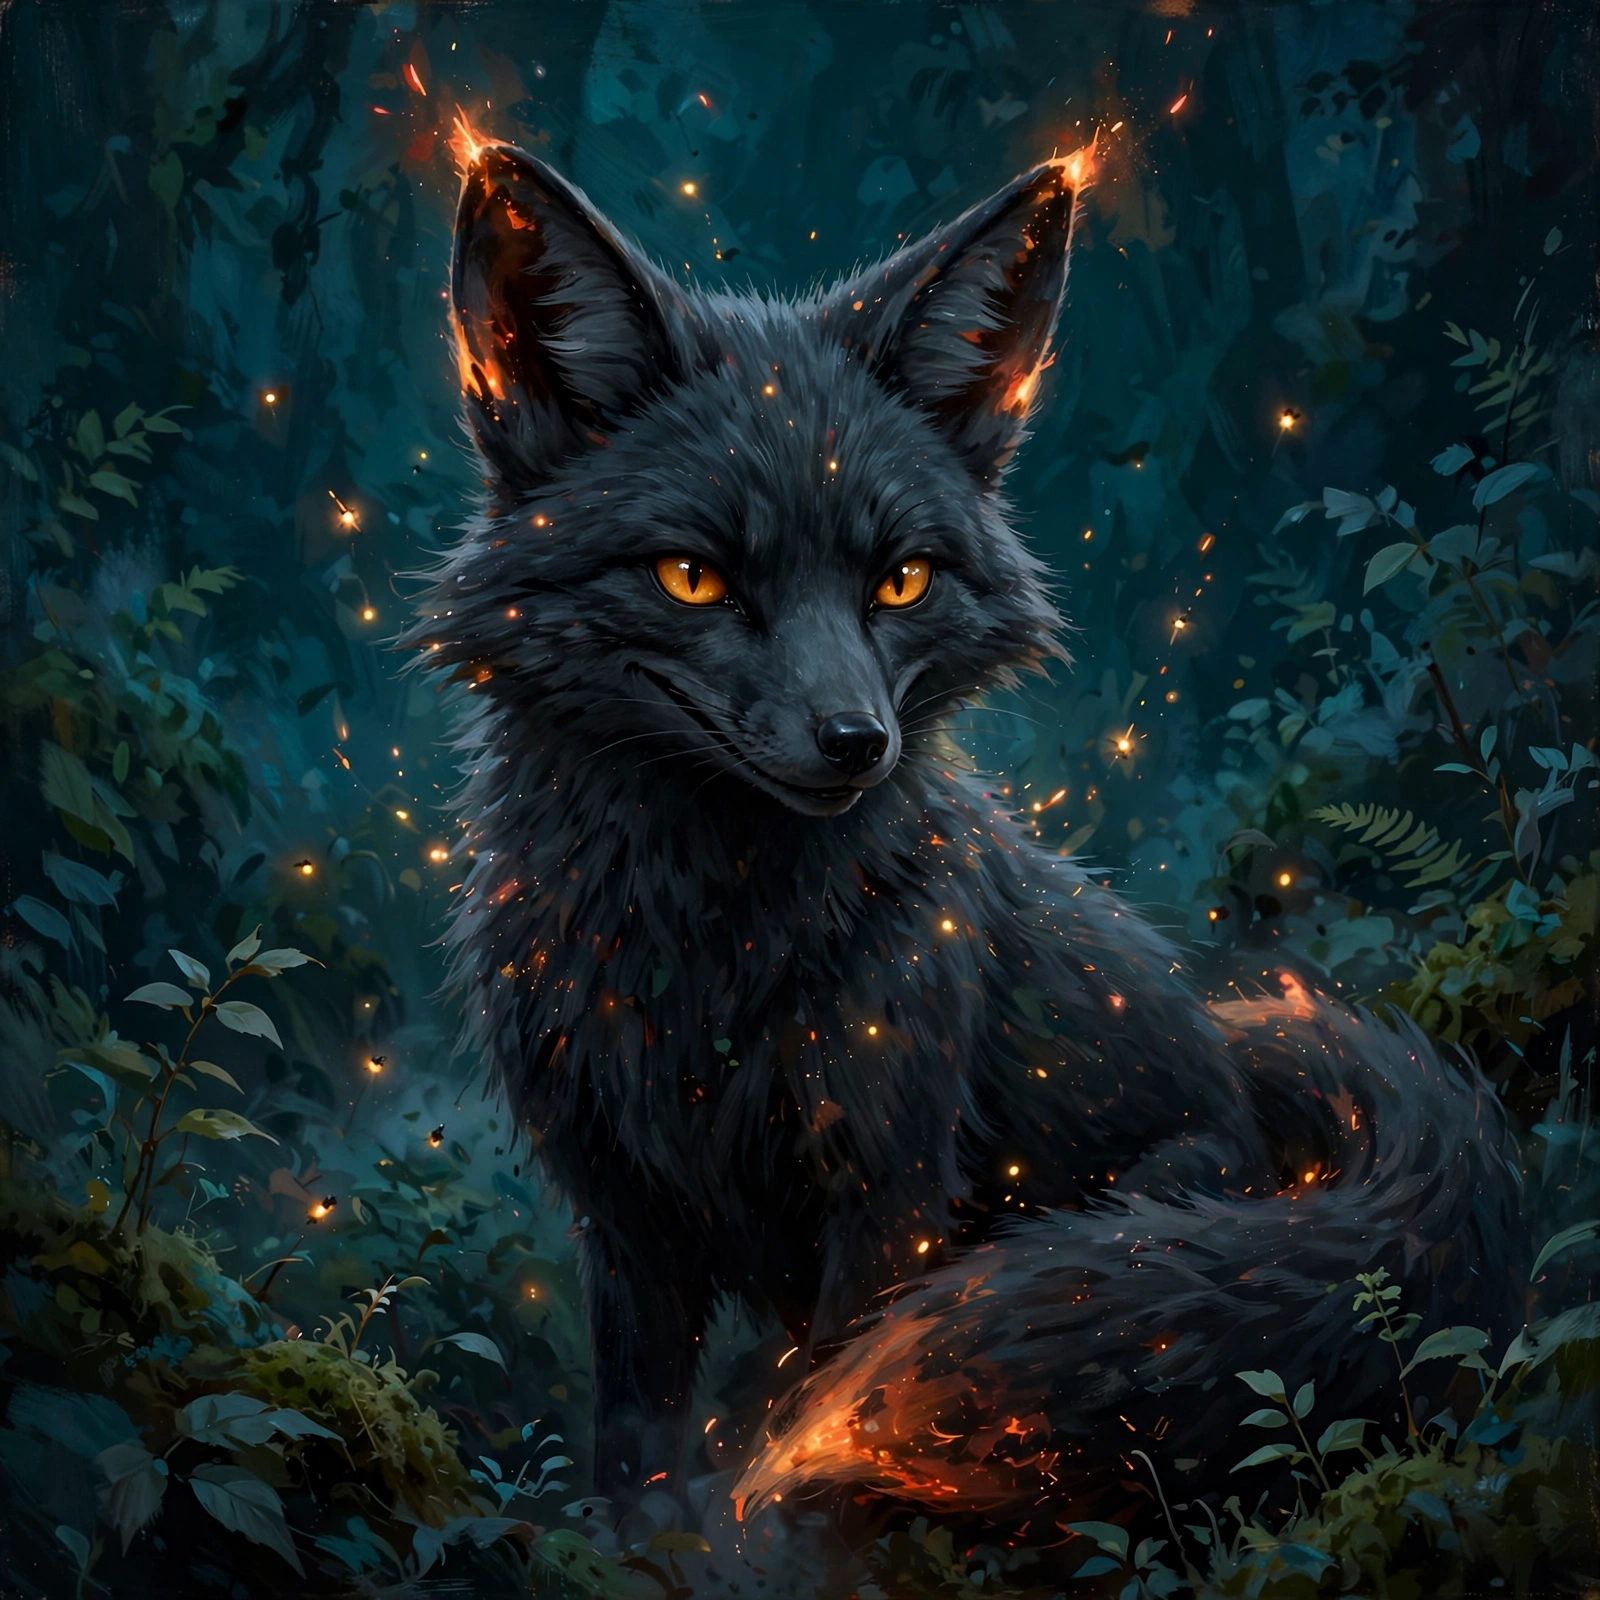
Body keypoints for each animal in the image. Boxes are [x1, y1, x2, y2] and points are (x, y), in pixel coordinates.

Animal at [416, 141, 1521, 1534]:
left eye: (900, 580)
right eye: (692, 578)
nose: (855, 741)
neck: (702, 955)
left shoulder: (887, 1183)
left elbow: (814, 1400)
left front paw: (773, 1523)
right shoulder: (623, 1216)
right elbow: (635, 1445)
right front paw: (636, 1538)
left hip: (1133, 1203)